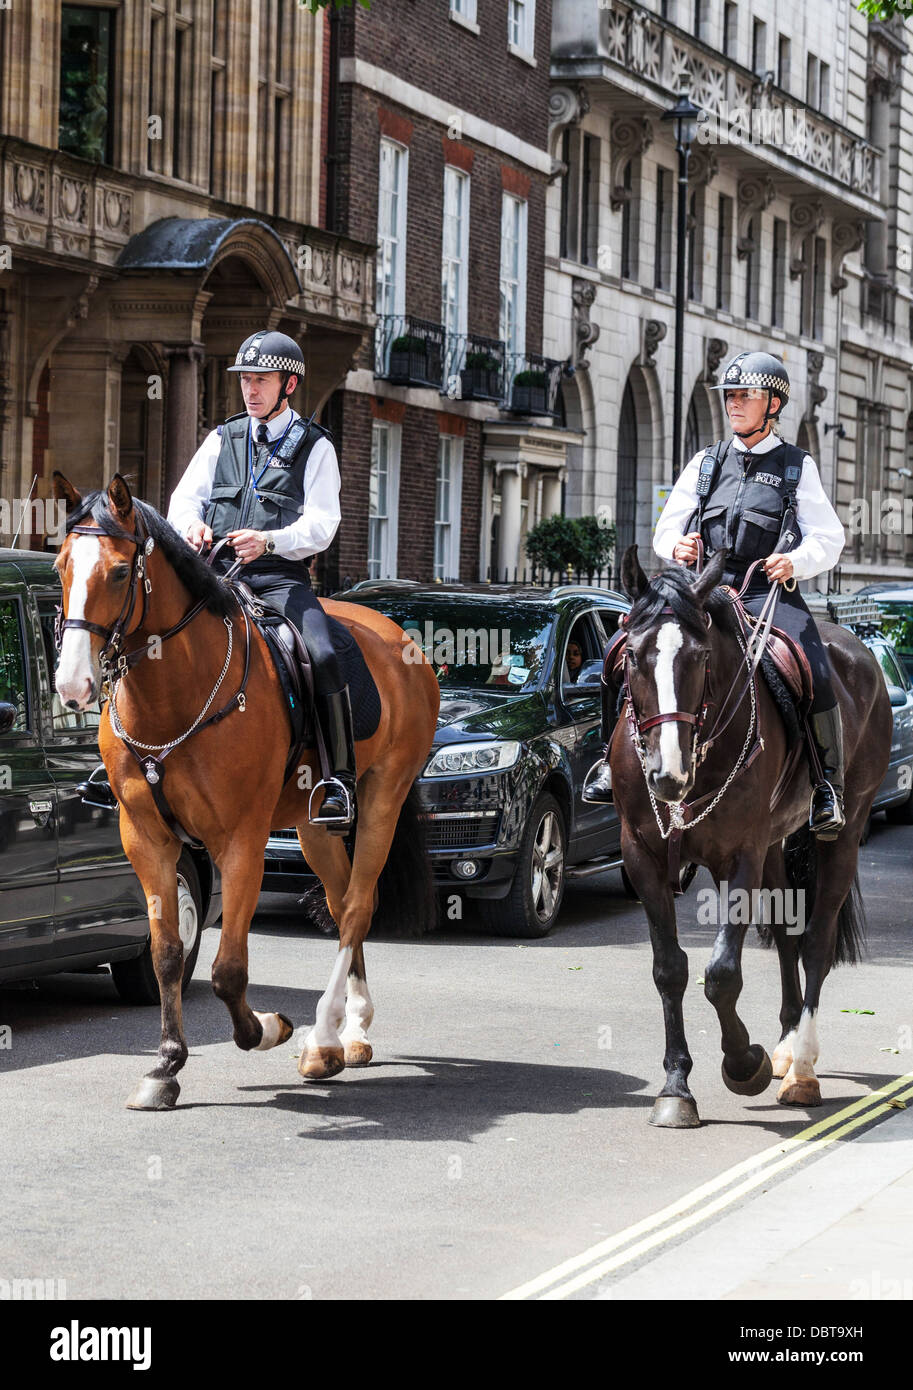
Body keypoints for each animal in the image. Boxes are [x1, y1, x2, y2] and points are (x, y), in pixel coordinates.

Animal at [51, 475, 439, 1106]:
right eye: (61, 564)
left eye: (118, 571)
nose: (73, 684)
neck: (174, 695)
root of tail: (397, 636)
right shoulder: (146, 840)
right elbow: (167, 954)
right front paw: (165, 1065)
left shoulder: (240, 842)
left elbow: (228, 970)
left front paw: (268, 1028)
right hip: (312, 824)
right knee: (341, 904)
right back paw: (349, 1033)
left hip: (383, 797)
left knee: (359, 905)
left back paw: (322, 1037)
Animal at [611, 544, 889, 1128]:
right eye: (633, 656)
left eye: (700, 658)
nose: (668, 776)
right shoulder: (642, 854)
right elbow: (669, 968)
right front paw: (676, 1086)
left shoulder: (739, 855)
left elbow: (721, 973)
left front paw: (743, 1063)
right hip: (776, 845)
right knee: (787, 936)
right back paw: (786, 1044)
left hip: (844, 831)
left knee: (816, 942)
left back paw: (801, 1069)